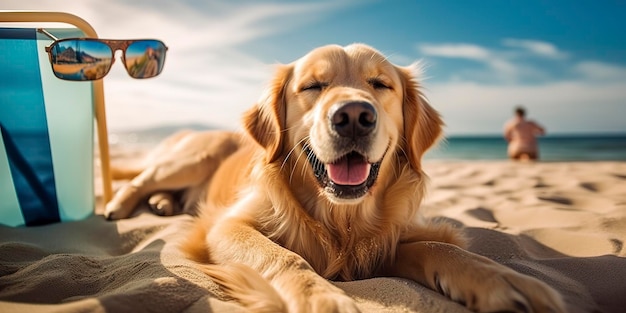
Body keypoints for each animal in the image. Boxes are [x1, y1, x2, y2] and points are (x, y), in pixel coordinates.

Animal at [105, 42, 564, 310]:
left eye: (380, 84)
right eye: (313, 86)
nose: (354, 117)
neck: (339, 217)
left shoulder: (383, 242)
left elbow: (442, 246)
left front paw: (504, 280)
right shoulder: (227, 226)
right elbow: (284, 256)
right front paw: (323, 299)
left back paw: (162, 204)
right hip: (194, 155)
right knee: (140, 179)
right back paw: (120, 206)